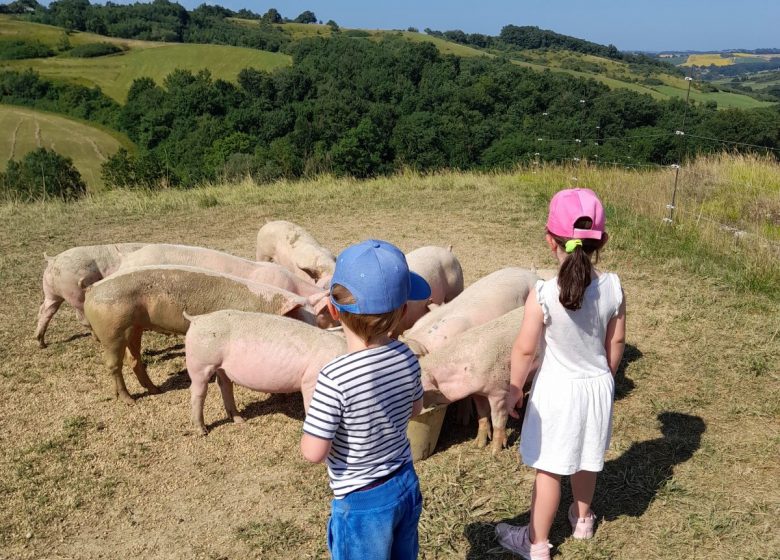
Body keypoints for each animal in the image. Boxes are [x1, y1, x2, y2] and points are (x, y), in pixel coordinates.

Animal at [83, 264, 320, 404]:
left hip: (134, 327)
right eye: (300, 319)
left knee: (134, 359)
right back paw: (129, 400)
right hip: (111, 329)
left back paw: (155, 390)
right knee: (113, 365)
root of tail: (92, 289)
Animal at [183, 308, 344, 436]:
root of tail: (197, 319)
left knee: (224, 385)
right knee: (197, 391)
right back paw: (203, 431)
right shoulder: (311, 380)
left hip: (221, 367)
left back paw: (239, 420)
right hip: (200, 362)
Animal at [424, 306, 528, 456]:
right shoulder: (478, 393)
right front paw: (478, 445)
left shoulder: (500, 391)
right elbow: (482, 416)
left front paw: (494, 453)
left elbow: (498, 421)